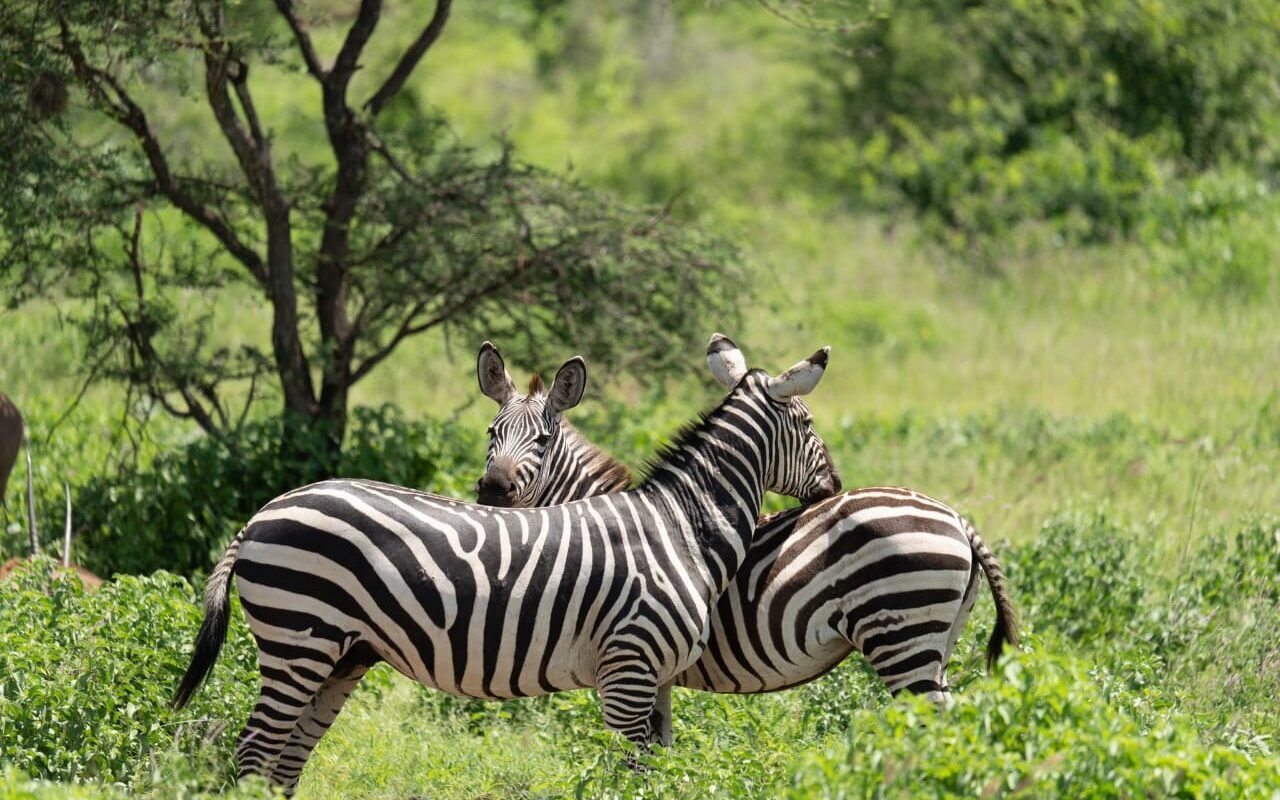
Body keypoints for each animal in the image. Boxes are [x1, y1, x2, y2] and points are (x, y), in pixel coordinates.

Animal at [171, 334, 840, 793]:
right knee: (254, 752)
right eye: (808, 422)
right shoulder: (629, 671)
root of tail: (261, 513)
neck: (679, 526)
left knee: (283, 761)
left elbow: (662, 770)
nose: (834, 488)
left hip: (343, 653)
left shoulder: (659, 679)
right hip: (300, 637)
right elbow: (632, 776)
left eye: (542, 439)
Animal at [474, 341, 1019, 741]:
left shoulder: (628, 653)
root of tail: (957, 518)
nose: (493, 490)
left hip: (901, 633)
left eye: (542, 441)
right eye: (490, 433)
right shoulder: (655, 666)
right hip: (937, 638)